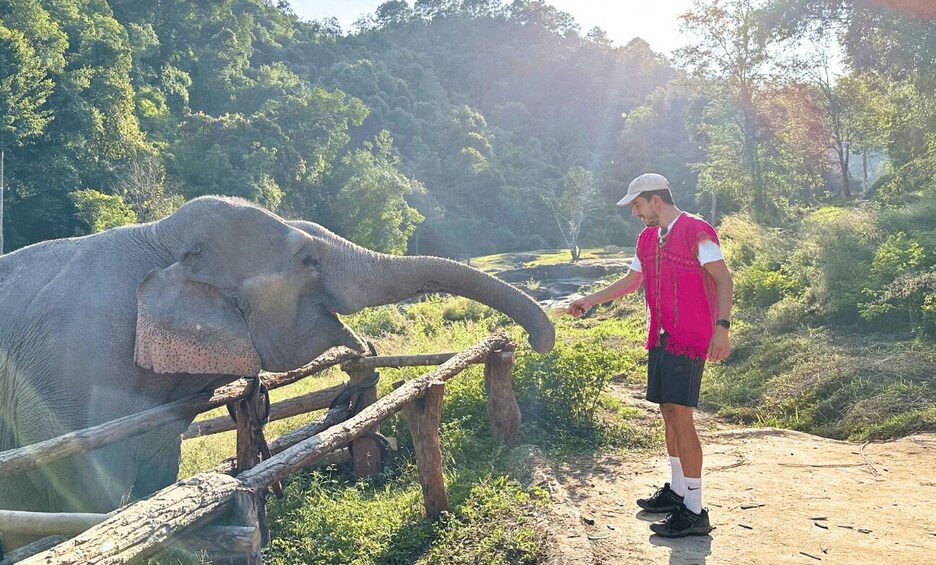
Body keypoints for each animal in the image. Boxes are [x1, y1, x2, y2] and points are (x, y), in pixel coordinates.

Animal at [0, 195, 554, 549]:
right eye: (307, 259)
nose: (538, 341)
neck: (156, 237)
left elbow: (157, 484)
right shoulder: (63, 392)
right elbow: (93, 504)